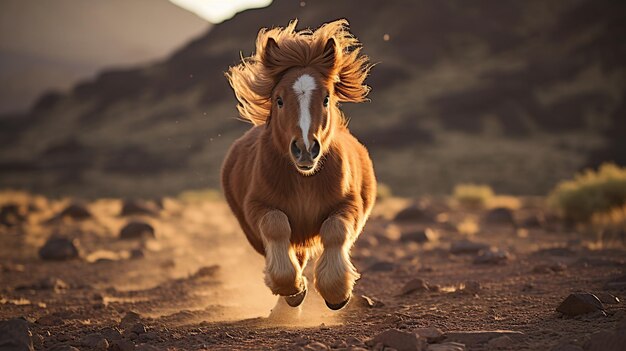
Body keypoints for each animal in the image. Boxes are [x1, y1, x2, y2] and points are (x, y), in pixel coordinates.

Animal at [221, 19, 372, 310]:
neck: (304, 180)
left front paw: (337, 292)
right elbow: (276, 225)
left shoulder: (349, 205)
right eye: (279, 100)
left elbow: (335, 231)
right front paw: (292, 287)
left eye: (326, 98)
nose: (304, 149)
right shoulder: (258, 206)